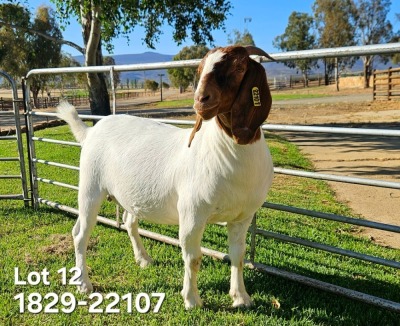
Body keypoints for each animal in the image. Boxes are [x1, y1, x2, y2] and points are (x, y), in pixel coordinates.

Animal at [57, 45, 276, 308]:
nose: (200, 100)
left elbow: (238, 255)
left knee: (129, 222)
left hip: (130, 193)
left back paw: (143, 259)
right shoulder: (192, 212)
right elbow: (193, 257)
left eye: (240, 67)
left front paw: (241, 297)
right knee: (80, 234)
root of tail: (89, 132)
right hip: (90, 187)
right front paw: (192, 300)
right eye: (200, 70)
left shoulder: (242, 217)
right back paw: (84, 284)